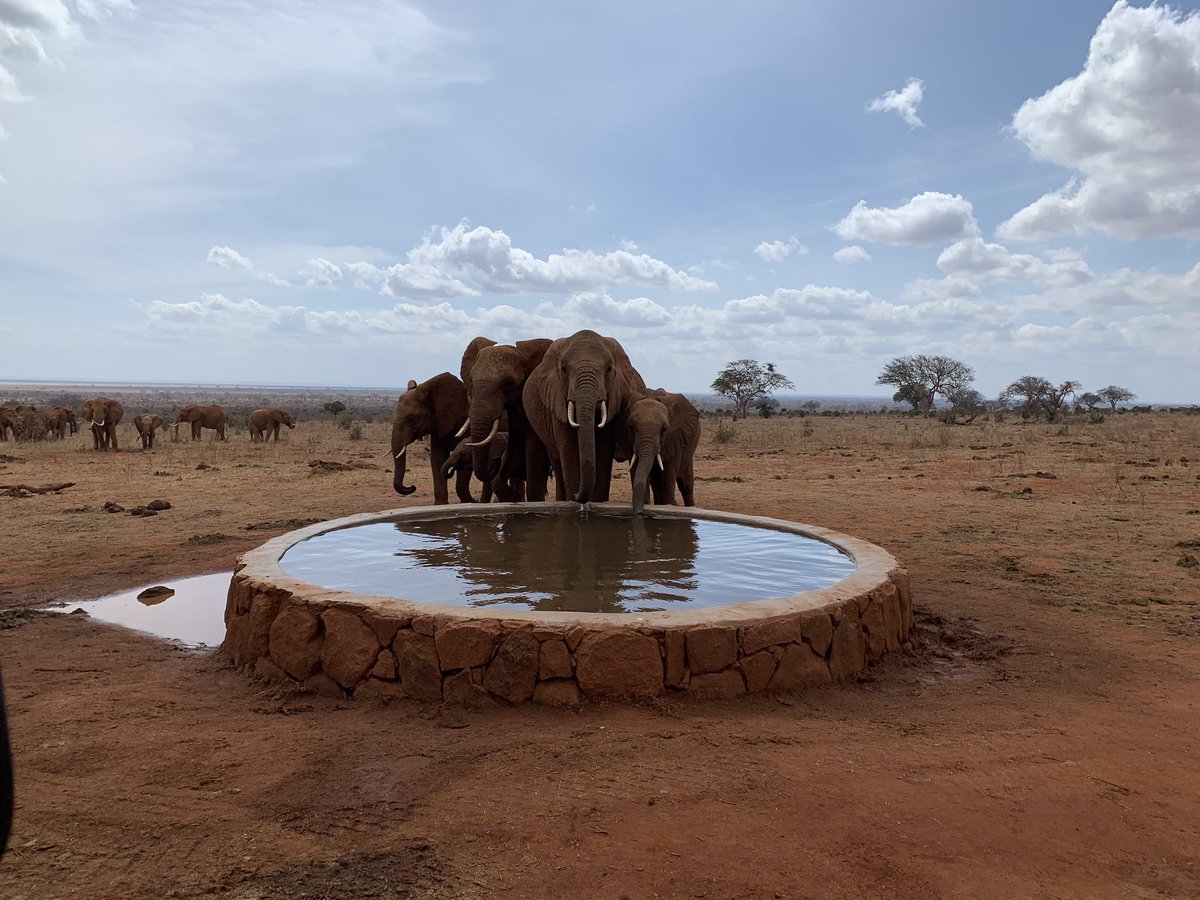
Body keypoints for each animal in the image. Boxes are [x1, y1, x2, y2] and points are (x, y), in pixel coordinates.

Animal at [524, 329, 646, 504]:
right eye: (563, 369)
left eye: (609, 369)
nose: (577, 494)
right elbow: (569, 450)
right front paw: (575, 500)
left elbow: (602, 450)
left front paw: (596, 502)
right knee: (557, 463)